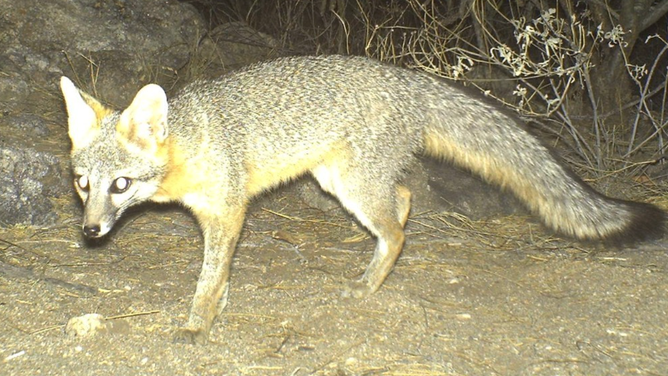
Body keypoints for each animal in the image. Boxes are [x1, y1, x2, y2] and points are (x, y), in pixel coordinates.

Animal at [60, 54, 664, 346]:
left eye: (120, 186)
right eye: (83, 184)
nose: (89, 232)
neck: (192, 142)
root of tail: (408, 79)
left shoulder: (230, 212)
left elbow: (209, 278)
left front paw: (197, 325)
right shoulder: (218, 219)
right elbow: (222, 272)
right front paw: (218, 307)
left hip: (352, 186)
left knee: (397, 231)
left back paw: (371, 284)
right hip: (339, 181)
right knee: (404, 199)